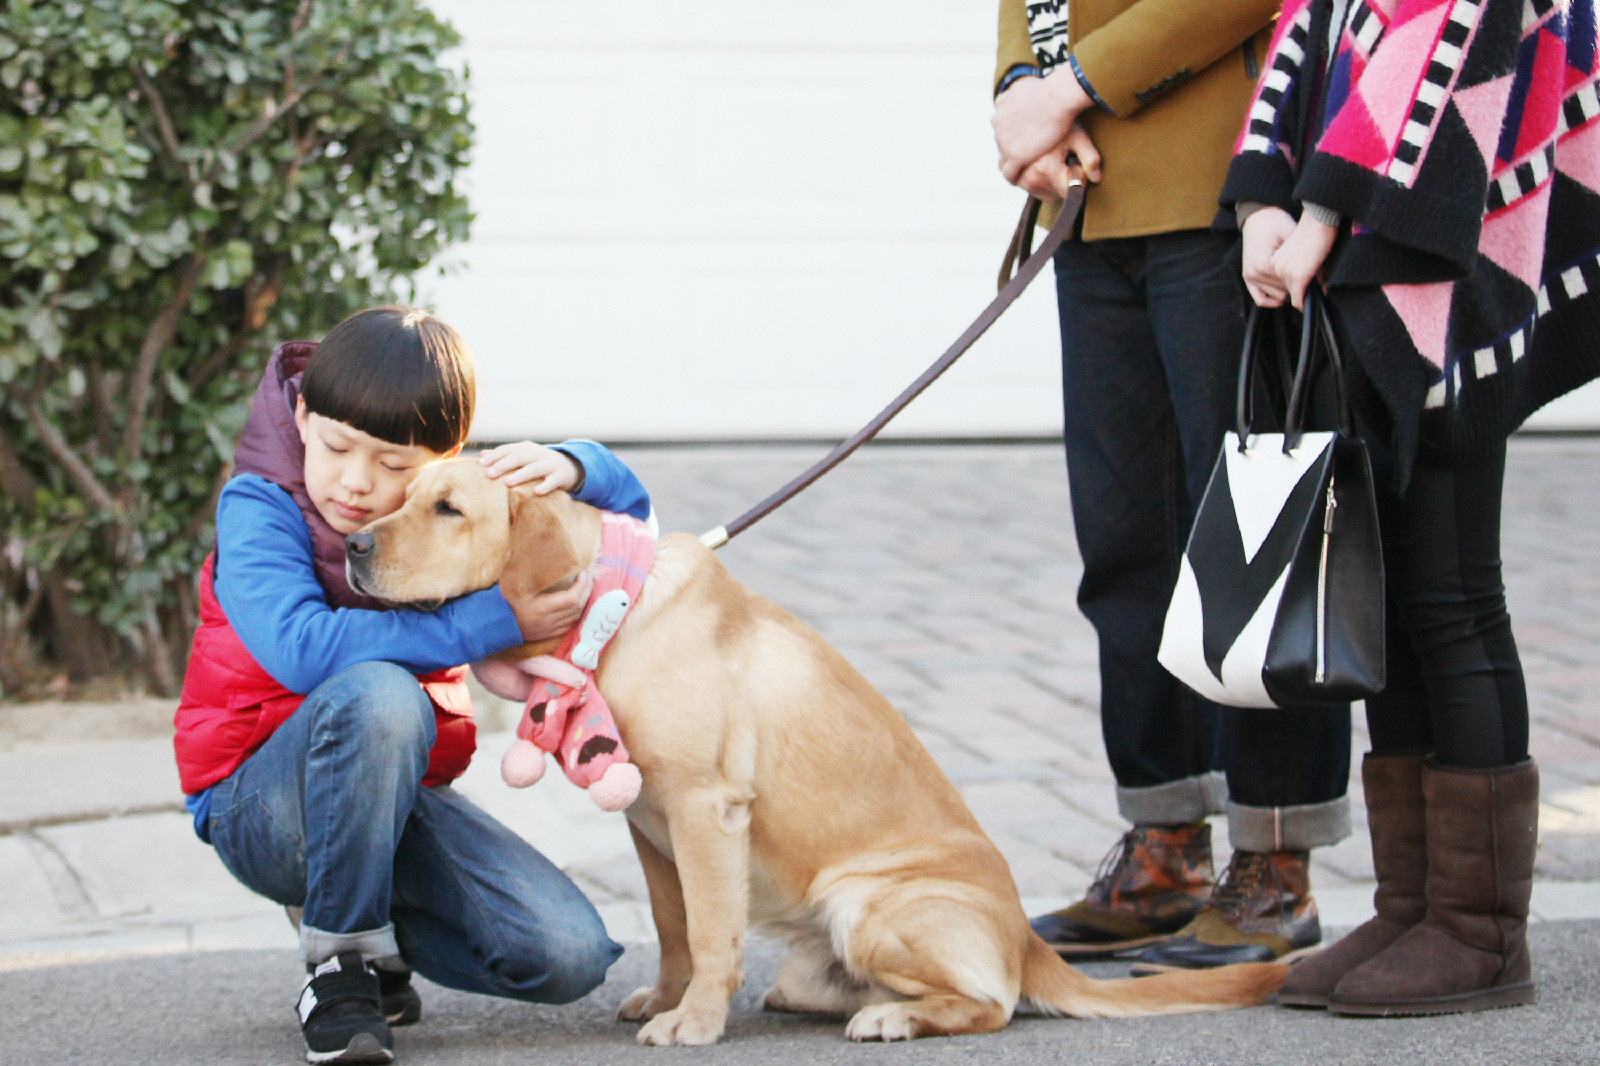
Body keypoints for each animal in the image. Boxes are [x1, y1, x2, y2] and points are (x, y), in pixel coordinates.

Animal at [344, 457, 1280, 1037]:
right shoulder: (652, 829)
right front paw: (670, 1001)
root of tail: (1027, 939)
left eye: (449, 509)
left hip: (864, 903)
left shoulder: (706, 813)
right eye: (403, 492)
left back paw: (895, 1017)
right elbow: (676, 929)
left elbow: (712, 934)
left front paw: (694, 1024)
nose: (351, 544)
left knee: (991, 1003)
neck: (610, 610)